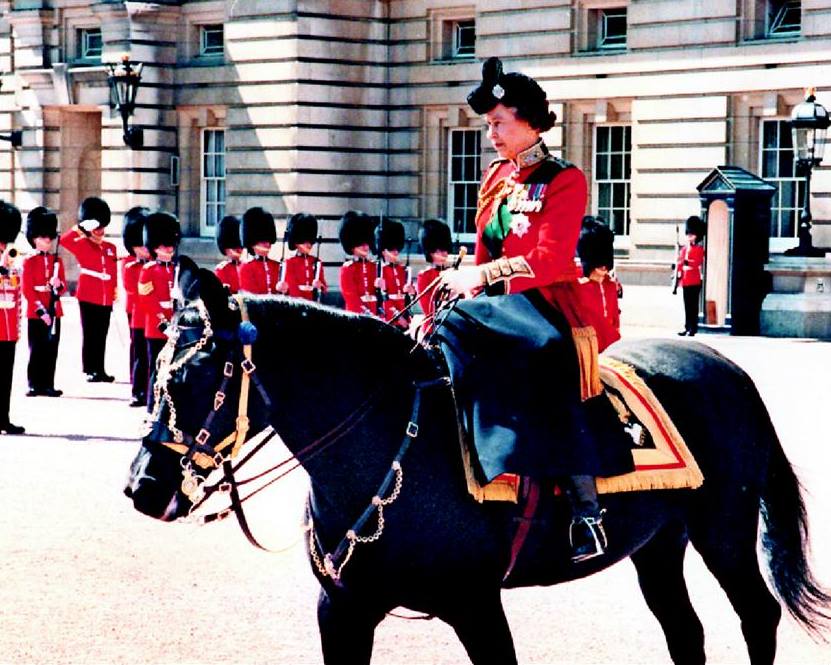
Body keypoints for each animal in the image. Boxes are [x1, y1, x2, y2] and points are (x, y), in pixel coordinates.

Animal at [125, 262, 831, 660]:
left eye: (194, 376)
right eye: (158, 373)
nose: (142, 489)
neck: (383, 447)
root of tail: (726, 366)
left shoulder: (476, 606)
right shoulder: (343, 610)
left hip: (723, 532)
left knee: (758, 615)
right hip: (659, 544)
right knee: (685, 632)